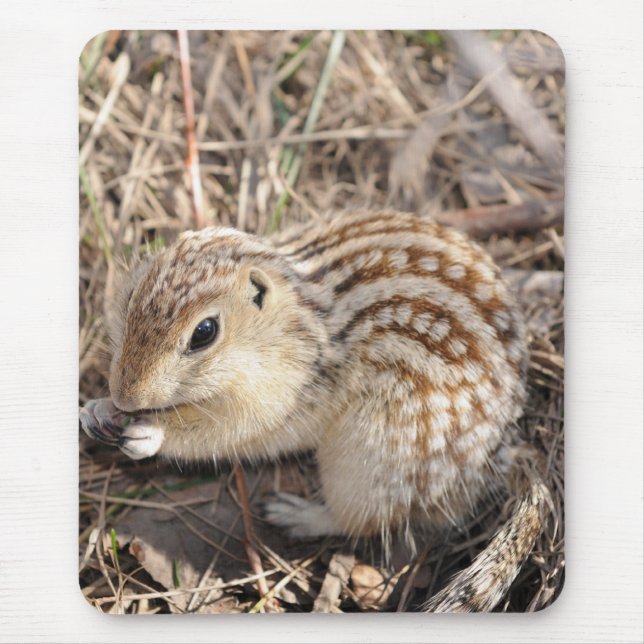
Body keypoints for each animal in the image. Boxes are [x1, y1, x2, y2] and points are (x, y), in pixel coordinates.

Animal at [80, 209, 550, 612]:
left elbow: (228, 434)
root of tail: (501, 454)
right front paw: (96, 410)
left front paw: (150, 434)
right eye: (131, 298)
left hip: (369, 457)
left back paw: (297, 515)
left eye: (204, 332)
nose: (125, 396)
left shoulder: (282, 395)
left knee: (361, 520)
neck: (298, 323)